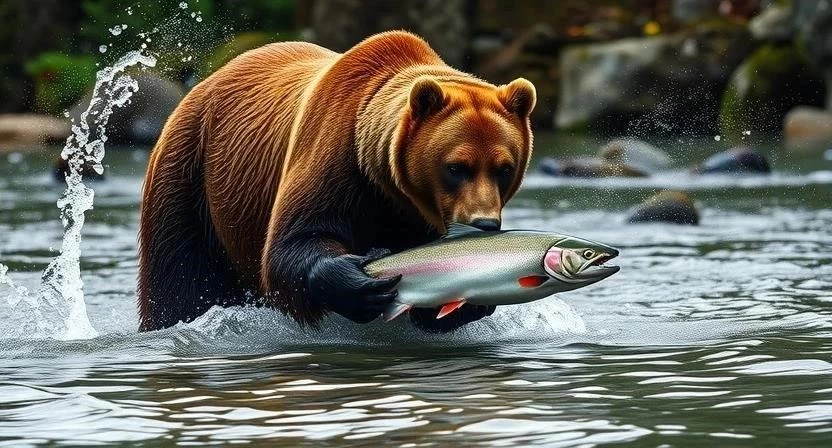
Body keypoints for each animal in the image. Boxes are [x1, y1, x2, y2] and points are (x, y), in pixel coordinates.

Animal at [138, 31, 536, 332]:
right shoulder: (334, 155)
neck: (387, 188)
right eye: (456, 167)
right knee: (180, 281)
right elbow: (293, 243)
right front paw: (357, 282)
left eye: (503, 167)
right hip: (190, 178)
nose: (484, 224)